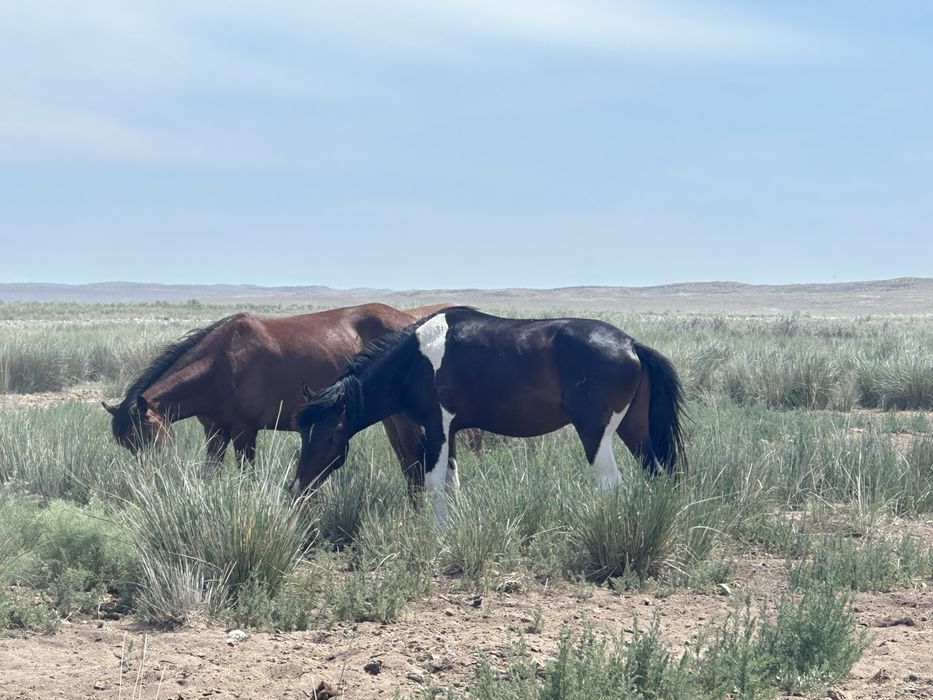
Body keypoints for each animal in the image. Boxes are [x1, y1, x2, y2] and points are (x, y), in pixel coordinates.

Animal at [102, 303, 456, 482]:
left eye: (148, 437)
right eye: (129, 445)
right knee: (408, 462)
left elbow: (246, 475)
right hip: (389, 417)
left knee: (413, 462)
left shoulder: (244, 431)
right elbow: (210, 473)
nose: (151, 477)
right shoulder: (215, 431)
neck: (220, 362)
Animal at [292, 306, 687, 521]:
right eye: (303, 434)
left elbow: (434, 485)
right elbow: (451, 485)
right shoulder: (450, 433)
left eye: (331, 436)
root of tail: (631, 344)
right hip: (634, 429)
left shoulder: (437, 429)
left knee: (611, 484)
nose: (298, 487)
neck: (414, 360)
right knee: (655, 472)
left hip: (596, 433)